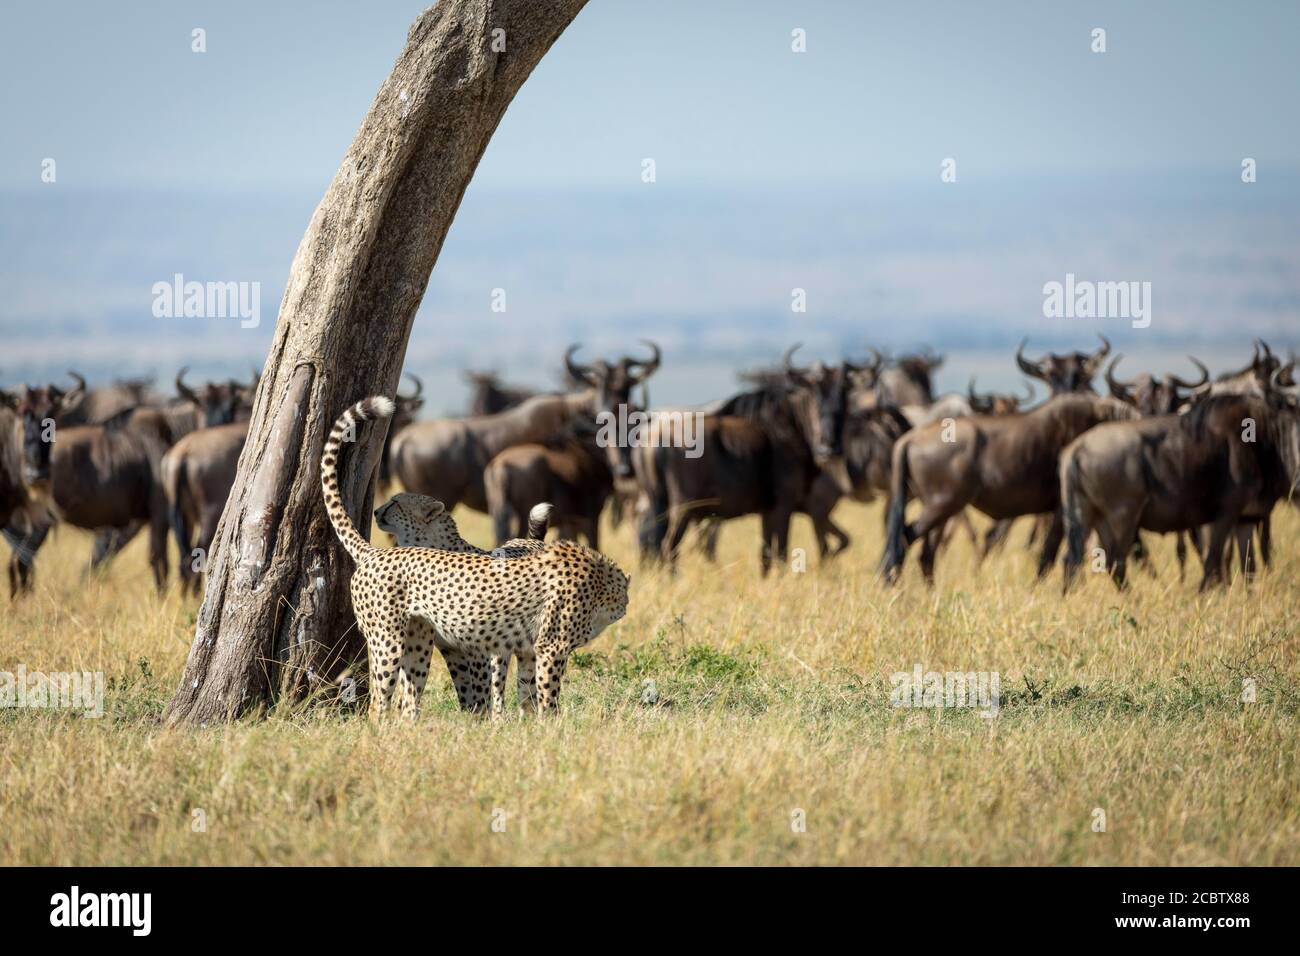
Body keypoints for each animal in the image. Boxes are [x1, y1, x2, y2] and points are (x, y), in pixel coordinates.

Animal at [322, 395, 631, 717]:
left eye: (396, 503)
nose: (377, 511)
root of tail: (375, 552)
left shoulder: (477, 648)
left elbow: (488, 692)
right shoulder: (474, 647)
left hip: (422, 641)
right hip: (391, 640)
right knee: (383, 700)